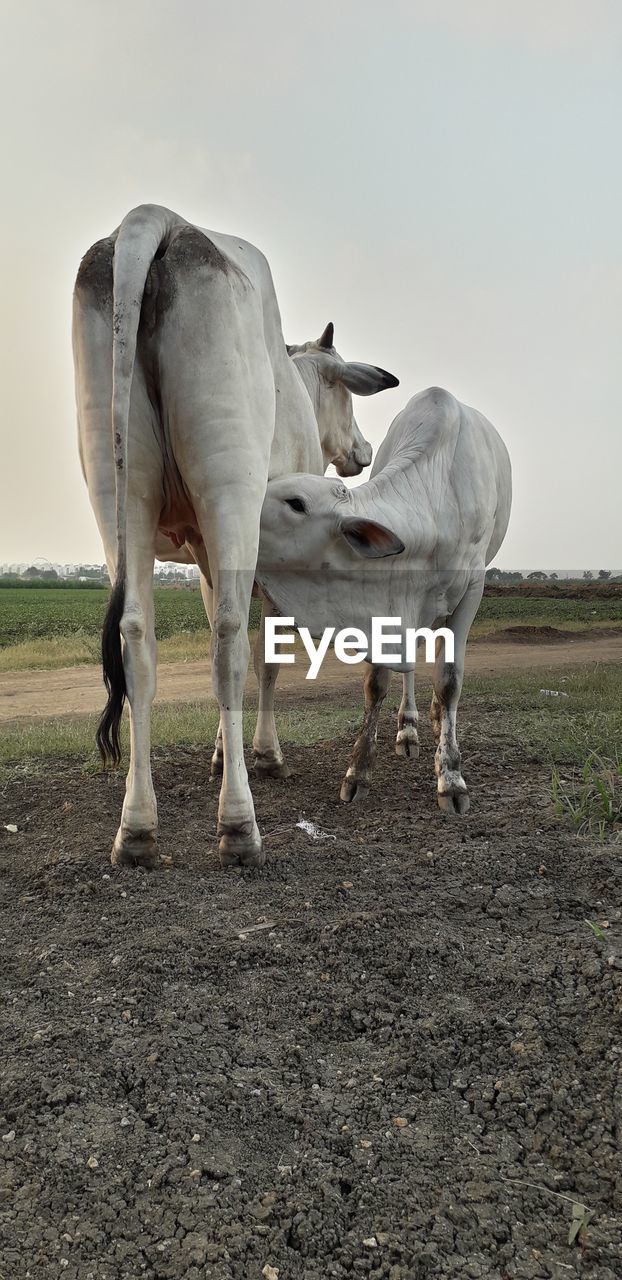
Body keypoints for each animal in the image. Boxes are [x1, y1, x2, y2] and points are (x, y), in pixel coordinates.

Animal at [71, 202, 394, 870]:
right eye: (347, 394)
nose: (364, 449)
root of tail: (154, 219)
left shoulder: (200, 551)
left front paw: (225, 752)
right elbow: (267, 650)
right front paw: (263, 756)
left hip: (117, 492)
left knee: (137, 639)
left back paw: (136, 828)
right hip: (231, 492)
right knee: (227, 641)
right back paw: (239, 825)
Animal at [254, 384, 511, 814]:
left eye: (296, 503)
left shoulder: (472, 589)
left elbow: (449, 679)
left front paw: (451, 777)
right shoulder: (389, 604)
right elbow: (377, 681)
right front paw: (358, 771)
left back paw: (437, 722)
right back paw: (409, 729)